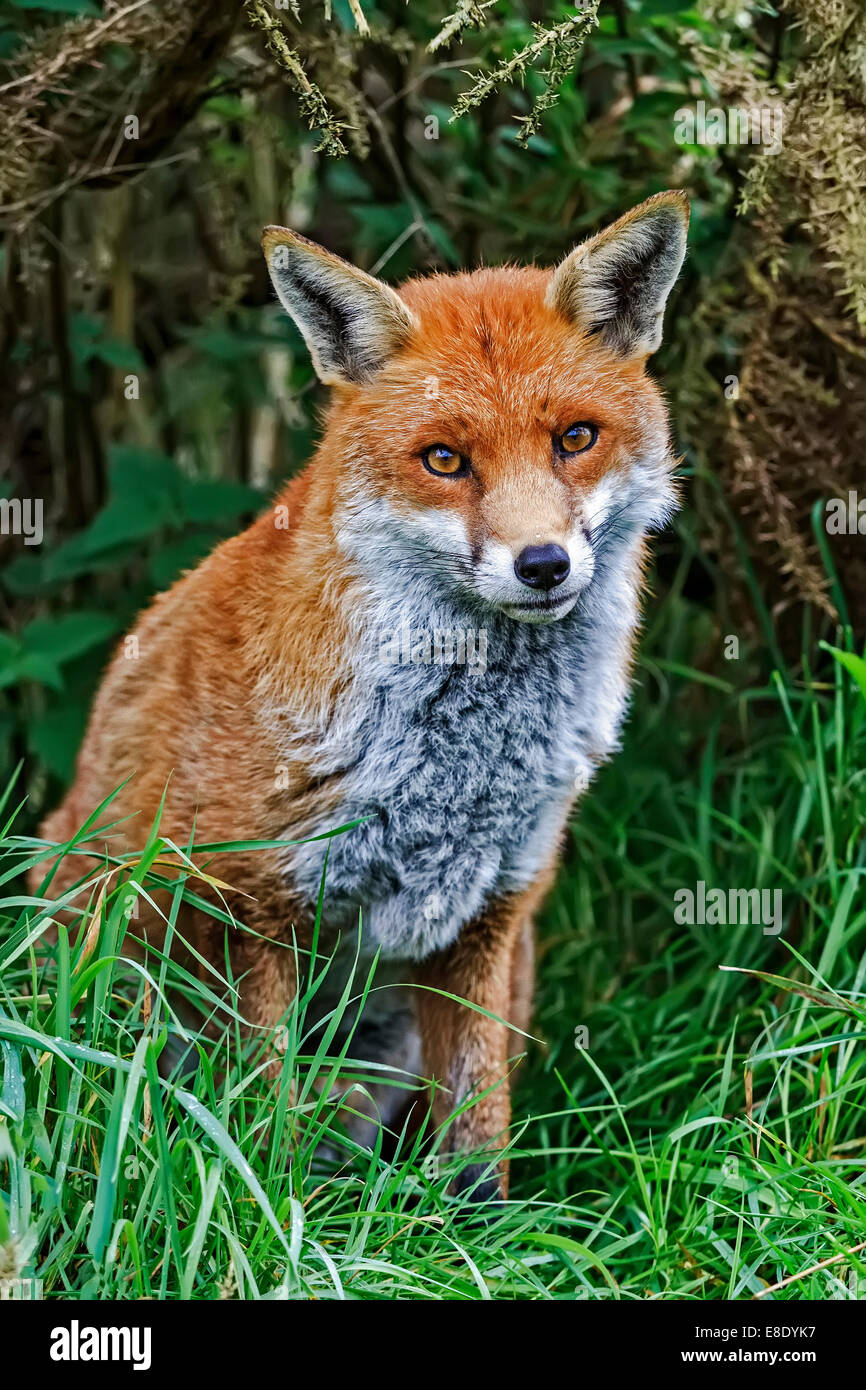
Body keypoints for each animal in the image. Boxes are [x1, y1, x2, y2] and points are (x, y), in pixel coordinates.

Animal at [35, 190, 692, 1200]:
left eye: (575, 439)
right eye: (445, 460)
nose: (543, 565)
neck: (458, 763)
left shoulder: (489, 914)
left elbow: (478, 1134)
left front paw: (480, 1228)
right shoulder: (251, 904)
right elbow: (260, 1131)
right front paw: (268, 1219)